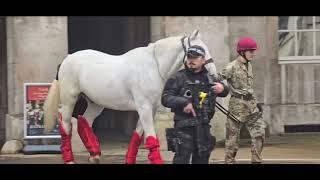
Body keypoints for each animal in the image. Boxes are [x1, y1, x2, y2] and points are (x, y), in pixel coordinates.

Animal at [43, 28, 216, 164]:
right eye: (196, 50)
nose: (213, 75)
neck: (154, 66)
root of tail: (67, 59)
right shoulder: (144, 107)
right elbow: (151, 137)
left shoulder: (151, 108)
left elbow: (138, 134)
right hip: (69, 99)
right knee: (66, 124)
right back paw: (70, 159)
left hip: (96, 103)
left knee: (84, 120)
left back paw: (95, 154)